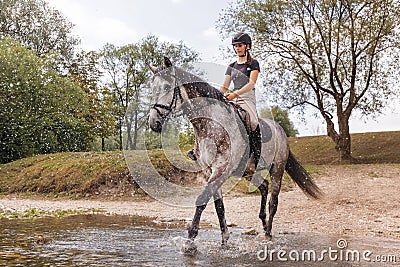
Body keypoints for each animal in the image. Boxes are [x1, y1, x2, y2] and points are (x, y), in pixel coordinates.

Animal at [148, 57, 324, 251]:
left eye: (166, 87)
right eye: (152, 88)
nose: (153, 123)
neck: (209, 124)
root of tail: (280, 130)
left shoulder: (221, 169)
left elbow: (202, 199)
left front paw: (190, 242)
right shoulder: (209, 171)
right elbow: (219, 206)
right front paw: (224, 240)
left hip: (277, 169)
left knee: (274, 201)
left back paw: (268, 234)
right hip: (247, 170)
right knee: (263, 186)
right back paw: (263, 224)